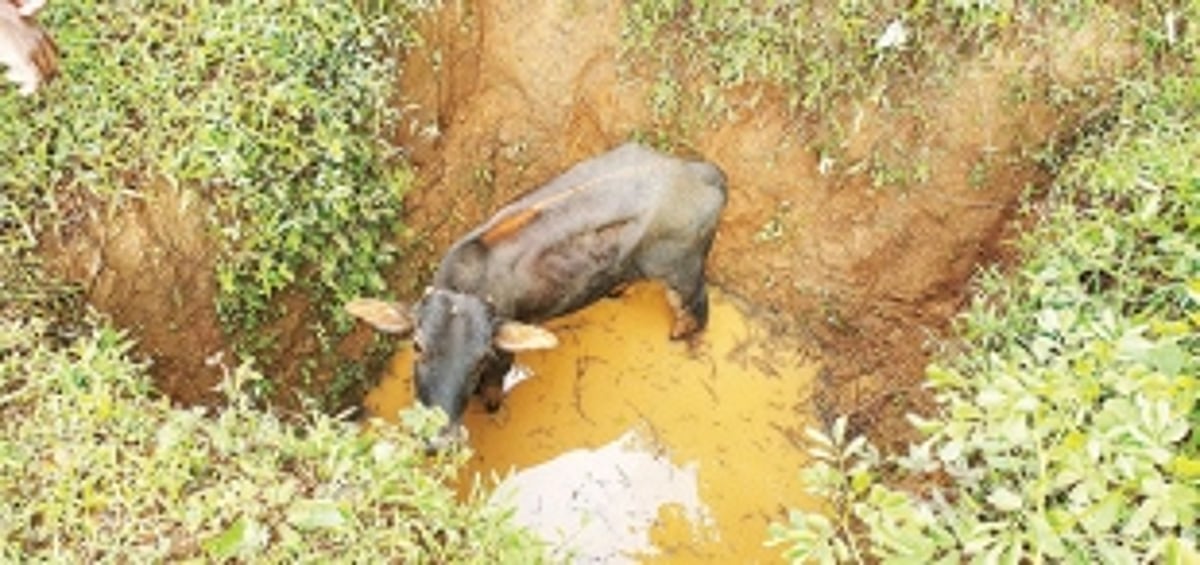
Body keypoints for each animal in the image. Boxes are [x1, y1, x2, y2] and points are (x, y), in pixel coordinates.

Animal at [347, 142, 726, 446]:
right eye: (417, 346)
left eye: (481, 359)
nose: (439, 440)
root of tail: (701, 172)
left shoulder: (503, 358)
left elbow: (493, 390)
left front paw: (491, 406)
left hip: (683, 273)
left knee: (698, 309)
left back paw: (682, 336)